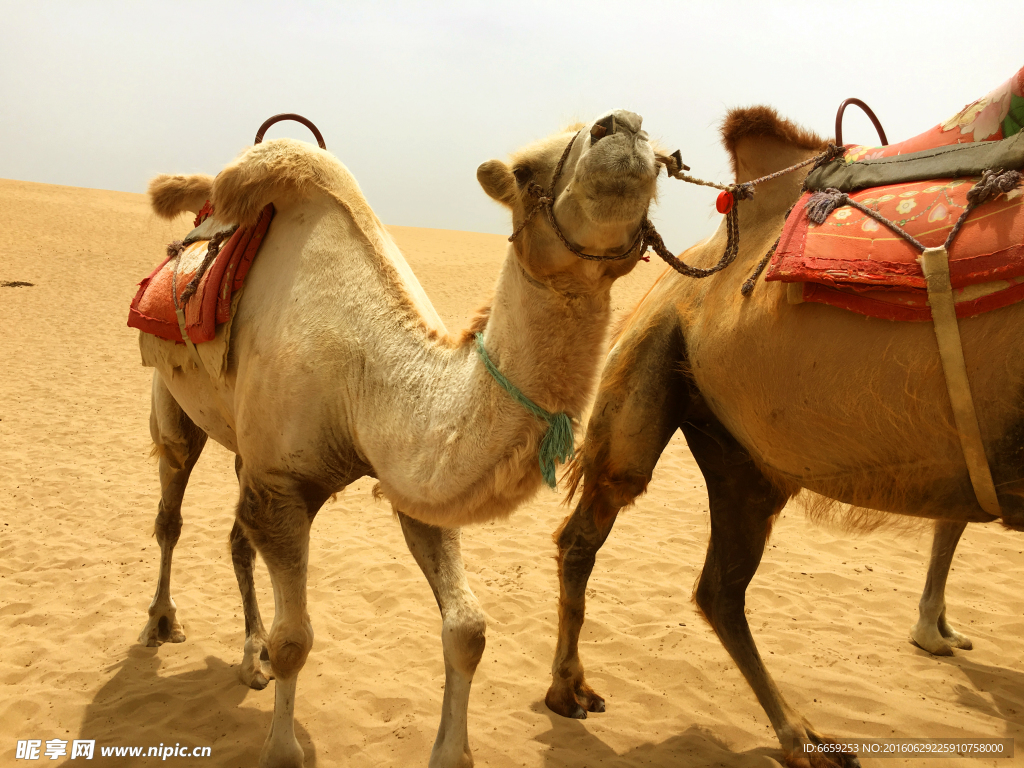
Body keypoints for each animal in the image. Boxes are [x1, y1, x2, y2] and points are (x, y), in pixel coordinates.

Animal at [138, 109, 663, 768]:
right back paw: (161, 625)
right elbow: (295, 641)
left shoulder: (410, 478)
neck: (363, 377)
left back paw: (250, 658)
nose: (623, 124)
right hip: (172, 399)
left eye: (661, 162)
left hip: (244, 441)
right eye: (523, 172)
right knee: (171, 509)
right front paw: (282, 748)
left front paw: (451, 752)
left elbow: (468, 629)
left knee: (236, 537)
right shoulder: (282, 485)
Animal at [544, 107, 1024, 768]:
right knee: (596, 524)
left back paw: (804, 736)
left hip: (742, 453)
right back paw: (573, 693)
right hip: (654, 349)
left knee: (718, 588)